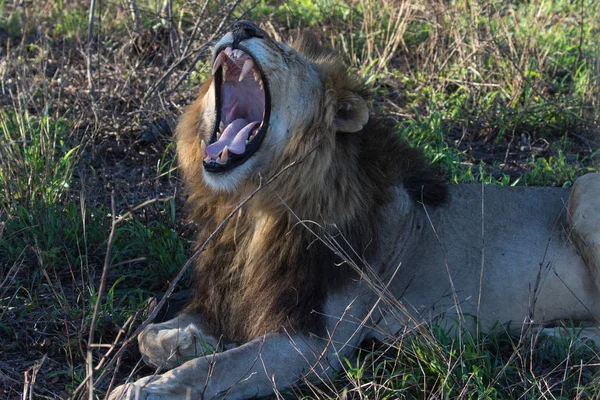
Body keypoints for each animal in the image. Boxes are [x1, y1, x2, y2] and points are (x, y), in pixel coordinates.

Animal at [110, 21, 596, 400]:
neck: (253, 211)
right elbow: (146, 334)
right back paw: (549, 338)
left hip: (583, 190)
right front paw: (189, 340)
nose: (243, 26)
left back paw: (551, 340)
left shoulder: (314, 343)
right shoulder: (230, 294)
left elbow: (216, 369)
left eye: (286, 53)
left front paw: (142, 388)